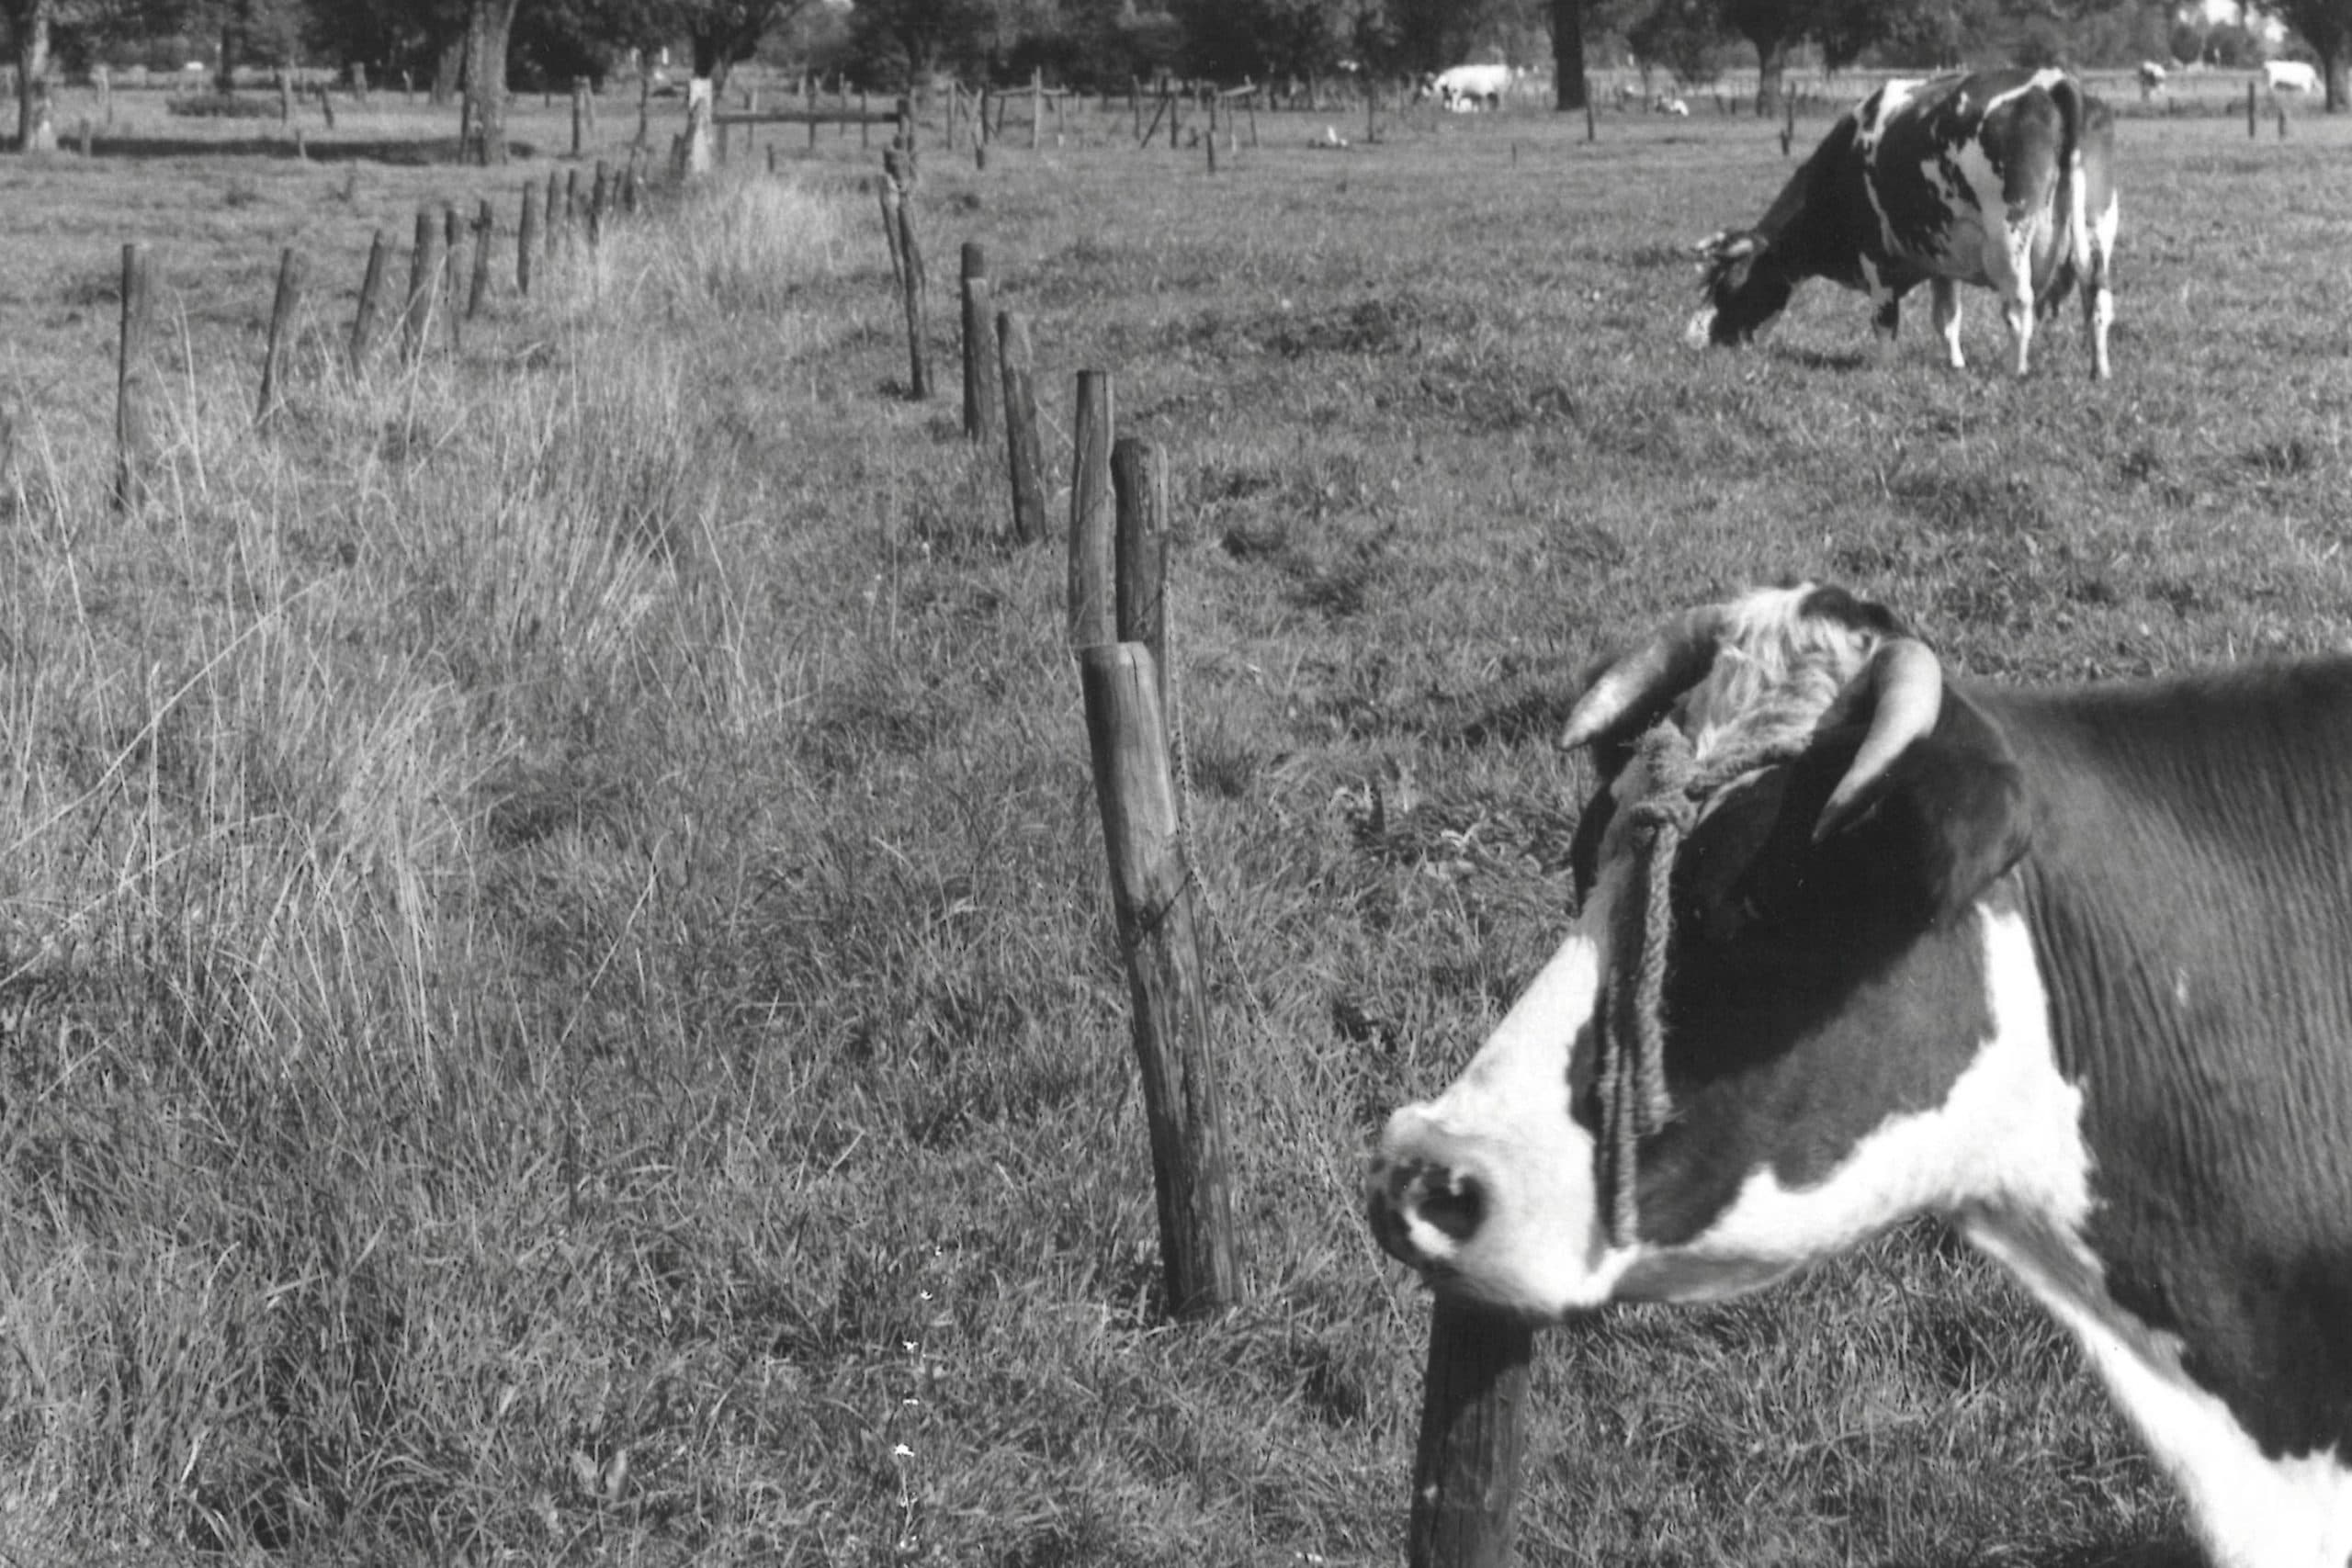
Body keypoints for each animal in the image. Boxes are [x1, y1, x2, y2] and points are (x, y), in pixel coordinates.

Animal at [1686, 69, 2118, 380]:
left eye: (1726, 284)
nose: (1692, 340)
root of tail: (2049, 81)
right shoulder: (1942, 259)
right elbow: (1946, 319)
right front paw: (1956, 365)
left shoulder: (1875, 256)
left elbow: (1884, 320)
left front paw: (1883, 370)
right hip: (2097, 231)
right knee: (2097, 301)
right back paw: (2099, 372)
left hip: (2009, 240)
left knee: (2019, 306)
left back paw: (2017, 371)